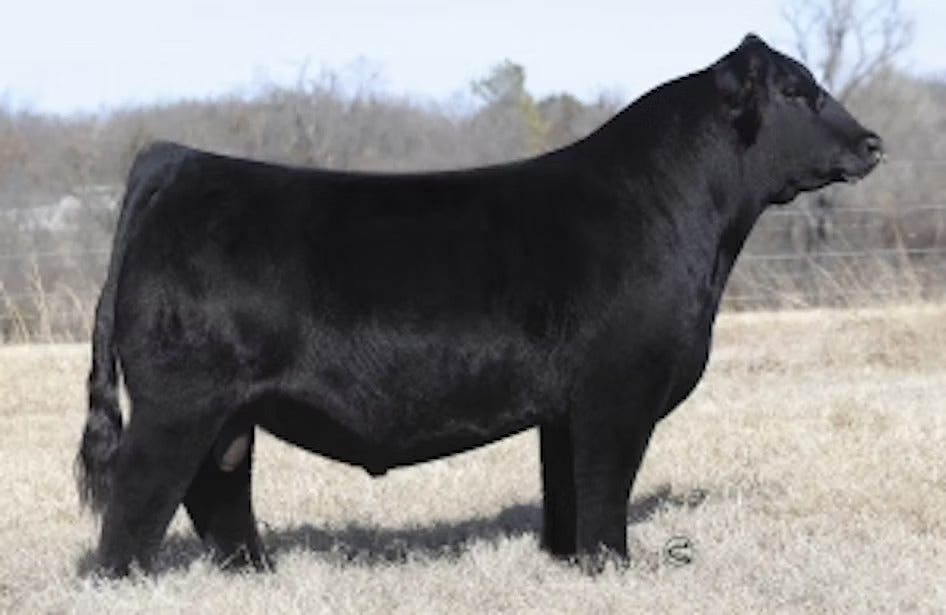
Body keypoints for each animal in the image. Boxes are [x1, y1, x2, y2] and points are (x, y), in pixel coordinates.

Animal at [76, 34, 883, 577]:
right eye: (797, 91)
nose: (872, 142)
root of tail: (175, 160)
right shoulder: (618, 390)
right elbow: (605, 487)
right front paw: (614, 566)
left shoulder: (566, 406)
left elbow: (566, 490)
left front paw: (567, 564)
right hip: (180, 402)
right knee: (137, 499)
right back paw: (130, 580)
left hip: (228, 411)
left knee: (218, 489)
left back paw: (259, 573)